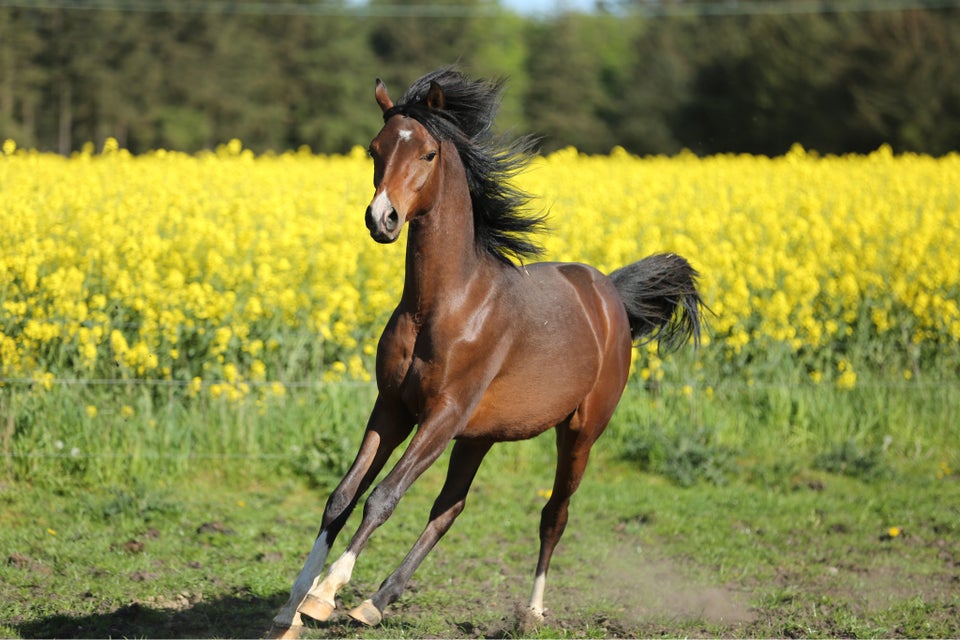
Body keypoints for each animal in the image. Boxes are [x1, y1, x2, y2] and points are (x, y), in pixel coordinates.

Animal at [270, 67, 704, 636]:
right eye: (374, 149)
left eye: (428, 153)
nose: (382, 219)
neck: (444, 305)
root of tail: (608, 293)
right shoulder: (393, 408)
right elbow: (342, 496)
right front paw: (291, 607)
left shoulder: (443, 414)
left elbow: (383, 496)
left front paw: (323, 595)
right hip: (480, 437)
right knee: (449, 508)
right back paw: (376, 603)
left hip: (579, 432)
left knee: (553, 514)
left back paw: (533, 611)